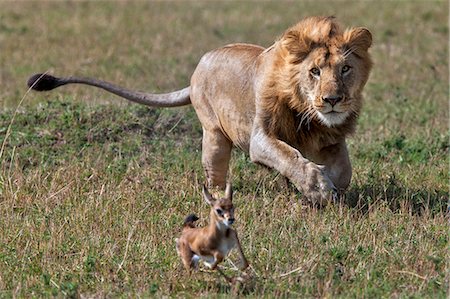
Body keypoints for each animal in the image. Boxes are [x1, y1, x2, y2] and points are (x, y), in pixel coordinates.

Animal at [28, 15, 372, 205]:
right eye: (314, 71)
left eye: (345, 69)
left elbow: (343, 170)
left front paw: (330, 187)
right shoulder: (260, 138)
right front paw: (319, 189)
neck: (308, 113)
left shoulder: (330, 138)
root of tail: (197, 70)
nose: (332, 99)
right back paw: (220, 199)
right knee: (214, 176)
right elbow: (289, 156)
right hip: (214, 134)